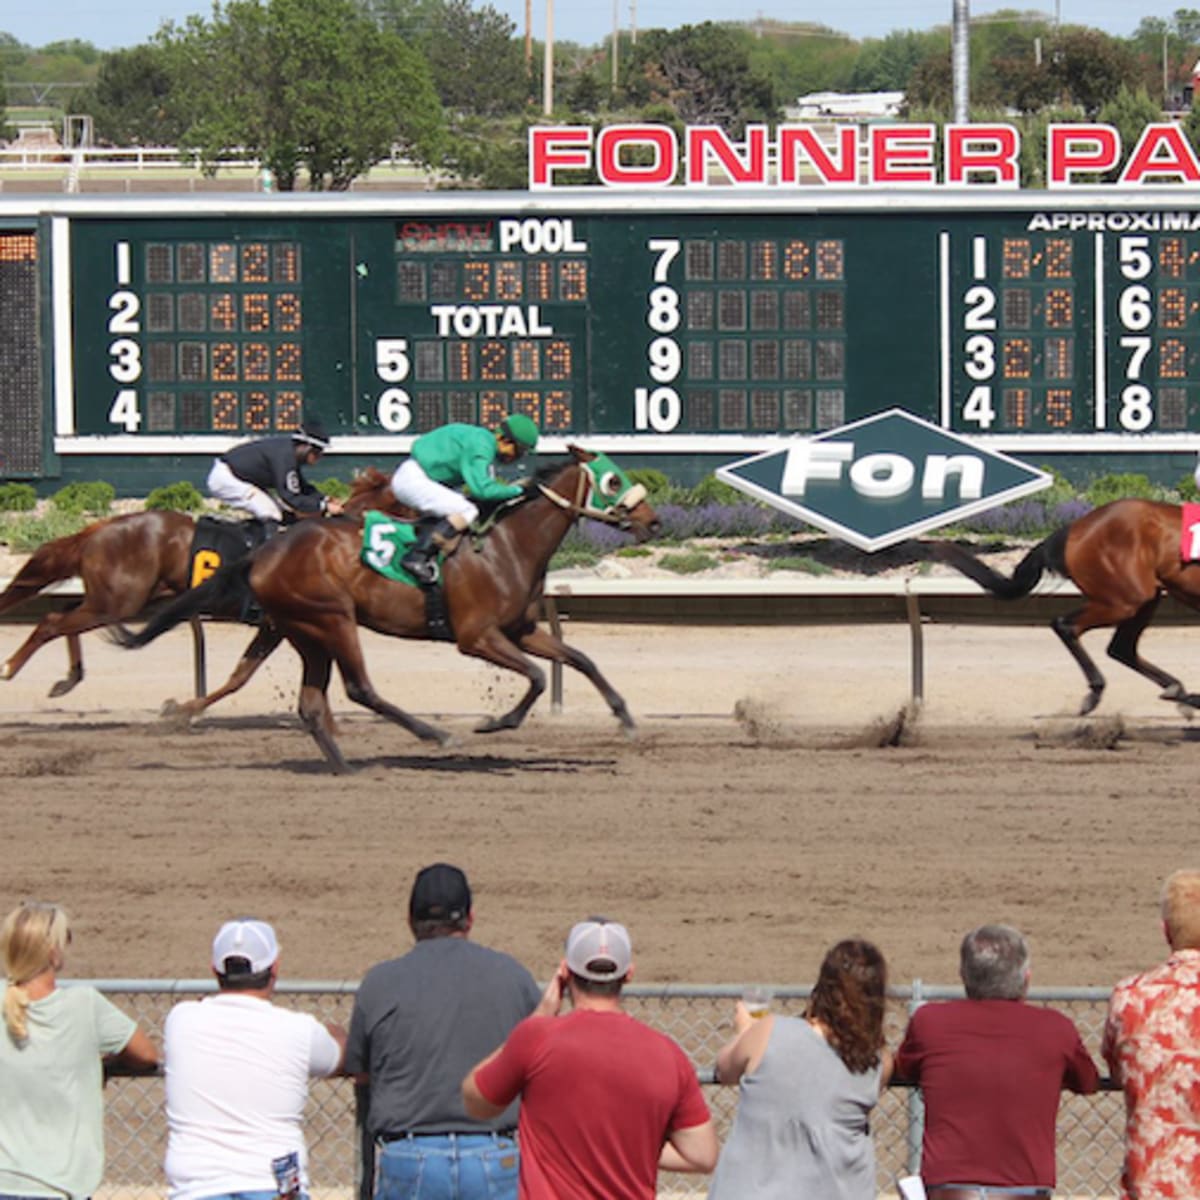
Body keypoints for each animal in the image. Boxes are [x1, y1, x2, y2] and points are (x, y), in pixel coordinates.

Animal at [0, 463, 403, 700]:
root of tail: (99, 529)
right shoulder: (281, 622)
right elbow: (242, 675)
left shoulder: (275, 625)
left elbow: (242, 674)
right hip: (117, 601)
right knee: (52, 621)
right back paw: (11, 668)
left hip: (118, 599)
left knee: (65, 613)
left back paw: (69, 677)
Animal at [117, 446, 662, 772]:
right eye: (613, 482)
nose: (654, 522)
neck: (508, 544)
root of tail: (264, 552)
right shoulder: (476, 637)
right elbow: (537, 676)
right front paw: (495, 722)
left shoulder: (522, 628)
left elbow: (578, 660)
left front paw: (626, 719)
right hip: (331, 619)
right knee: (359, 688)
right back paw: (434, 735)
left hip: (305, 630)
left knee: (311, 703)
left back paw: (342, 765)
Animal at [931, 496, 1200, 710]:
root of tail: (1073, 528)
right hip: (1124, 599)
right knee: (1067, 625)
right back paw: (1097, 690)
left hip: (1143, 598)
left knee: (1121, 648)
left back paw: (1178, 691)